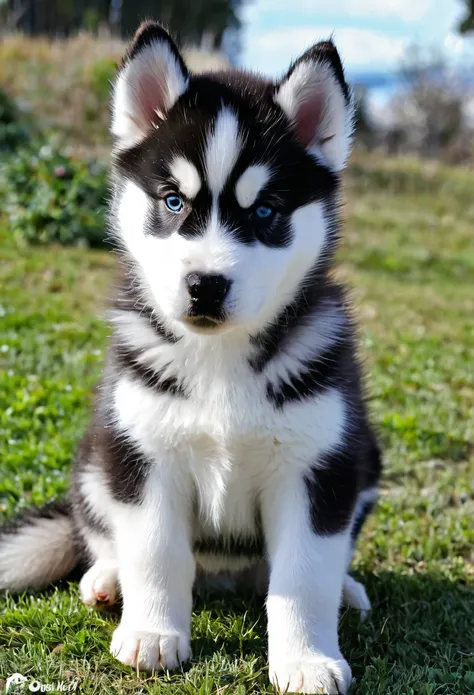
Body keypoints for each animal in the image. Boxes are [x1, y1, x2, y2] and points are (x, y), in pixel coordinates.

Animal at [0, 23, 380, 695]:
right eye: (173, 201)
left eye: (265, 211)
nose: (206, 285)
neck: (219, 356)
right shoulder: (144, 453)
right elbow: (154, 551)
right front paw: (153, 633)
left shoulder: (318, 466)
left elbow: (304, 575)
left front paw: (307, 659)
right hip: (98, 455)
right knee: (102, 535)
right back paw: (107, 581)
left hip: (365, 462)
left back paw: (347, 590)